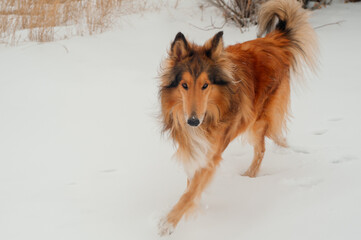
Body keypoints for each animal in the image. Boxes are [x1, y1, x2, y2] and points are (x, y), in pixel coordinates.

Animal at [158, 0, 318, 236]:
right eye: (184, 85)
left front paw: (168, 223)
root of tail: (272, 41)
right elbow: (190, 187)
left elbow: (190, 191)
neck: (210, 114)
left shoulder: (211, 154)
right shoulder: (195, 148)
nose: (193, 121)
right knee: (277, 136)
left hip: (259, 119)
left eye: (205, 85)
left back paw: (250, 176)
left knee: (262, 148)